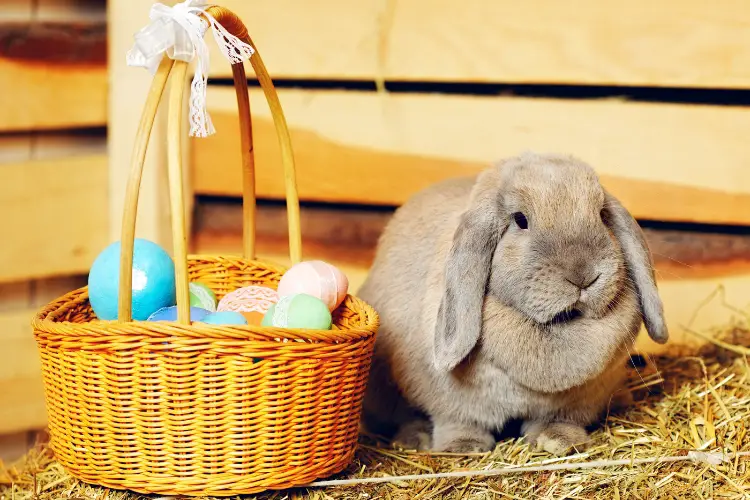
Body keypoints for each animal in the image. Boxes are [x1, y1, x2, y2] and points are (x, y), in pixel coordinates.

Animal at [358, 150, 668, 456]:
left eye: (602, 215)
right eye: (520, 220)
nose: (584, 276)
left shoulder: (577, 401)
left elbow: (560, 419)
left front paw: (559, 441)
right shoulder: (448, 399)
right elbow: (458, 421)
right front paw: (463, 447)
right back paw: (415, 439)